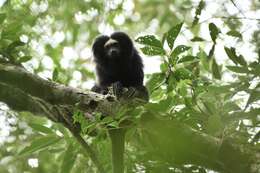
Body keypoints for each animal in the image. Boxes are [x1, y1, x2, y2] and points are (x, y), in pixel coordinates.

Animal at [91, 31, 148, 173]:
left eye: (116, 44)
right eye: (107, 47)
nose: (113, 51)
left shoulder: (135, 59)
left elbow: (138, 81)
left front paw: (133, 89)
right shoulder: (100, 67)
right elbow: (103, 84)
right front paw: (113, 86)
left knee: (144, 93)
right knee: (95, 89)